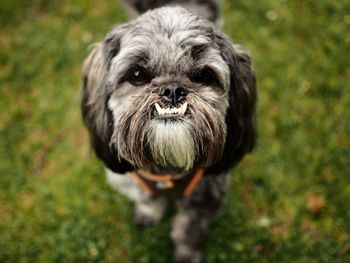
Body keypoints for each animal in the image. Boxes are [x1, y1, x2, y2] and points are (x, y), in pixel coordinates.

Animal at [81, 1, 258, 262]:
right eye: (137, 74)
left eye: (205, 75)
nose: (172, 90)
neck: (167, 171)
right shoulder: (132, 180)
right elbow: (148, 199)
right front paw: (149, 213)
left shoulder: (205, 196)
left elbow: (189, 230)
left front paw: (187, 254)